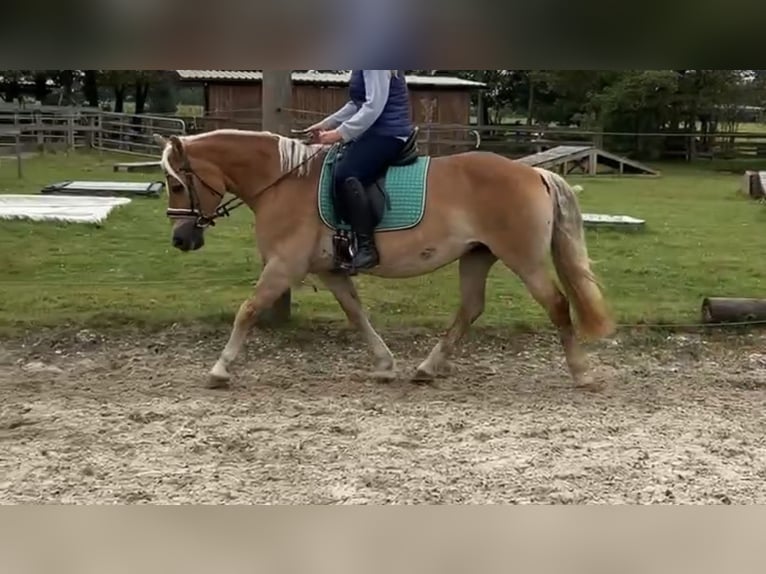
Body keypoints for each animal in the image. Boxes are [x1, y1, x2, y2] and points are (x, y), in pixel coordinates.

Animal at [153, 128, 615, 391]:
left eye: (176, 184)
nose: (180, 239)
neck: (284, 182)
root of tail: (534, 172)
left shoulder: (284, 266)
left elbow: (247, 311)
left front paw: (220, 369)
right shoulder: (329, 270)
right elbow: (357, 314)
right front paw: (384, 364)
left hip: (523, 258)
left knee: (557, 304)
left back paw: (582, 374)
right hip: (477, 256)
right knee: (470, 309)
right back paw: (427, 368)